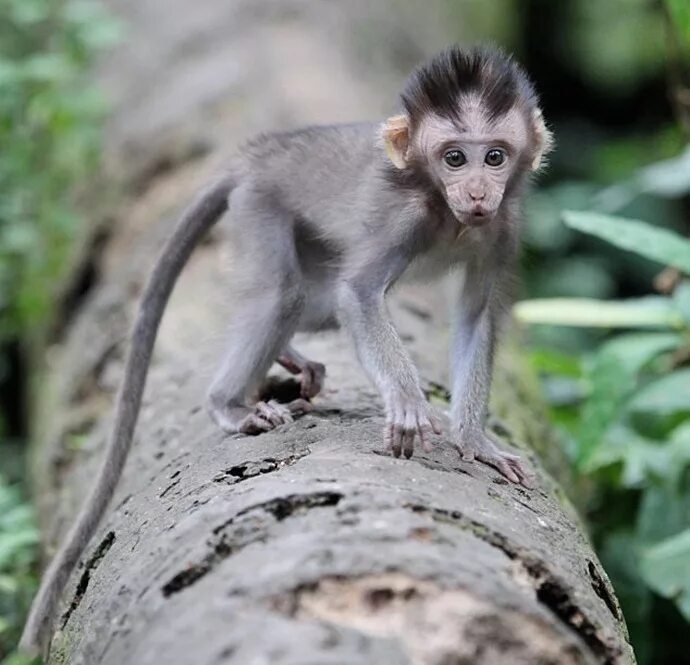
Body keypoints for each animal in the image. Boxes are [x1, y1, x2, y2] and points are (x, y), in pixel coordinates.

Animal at [18, 45, 552, 652]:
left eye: (495, 156)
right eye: (455, 158)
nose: (479, 193)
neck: (447, 214)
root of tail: (257, 154)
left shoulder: (502, 229)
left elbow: (473, 316)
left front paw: (474, 440)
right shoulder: (402, 219)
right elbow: (358, 294)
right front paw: (408, 404)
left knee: (311, 301)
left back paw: (289, 358)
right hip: (259, 204)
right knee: (286, 294)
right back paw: (229, 404)